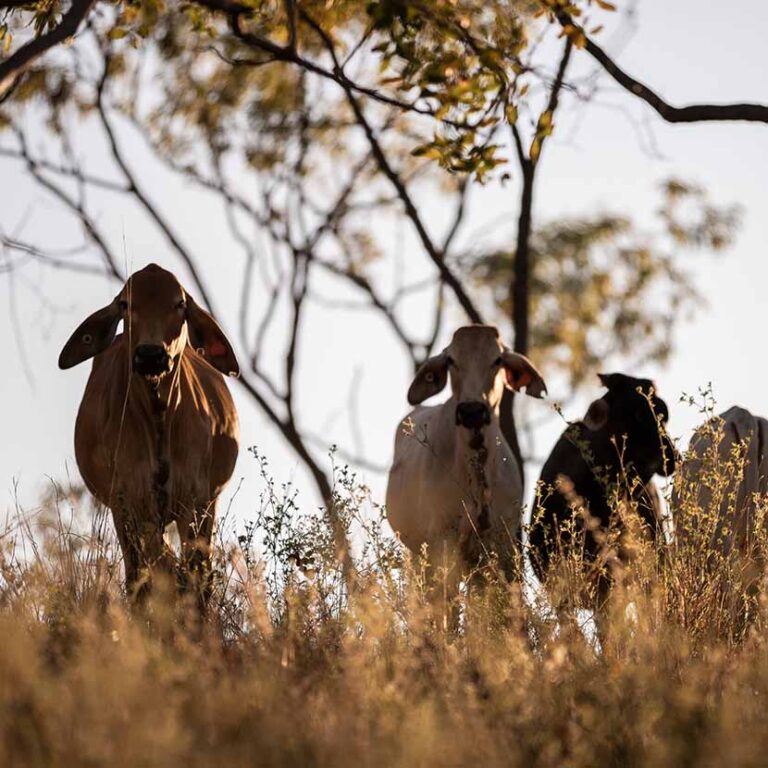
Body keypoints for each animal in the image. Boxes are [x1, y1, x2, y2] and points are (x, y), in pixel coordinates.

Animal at [59, 264, 238, 608]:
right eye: (126, 304)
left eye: (180, 304)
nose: (151, 355)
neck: (159, 418)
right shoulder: (128, 500)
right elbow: (147, 575)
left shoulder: (195, 499)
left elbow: (194, 579)